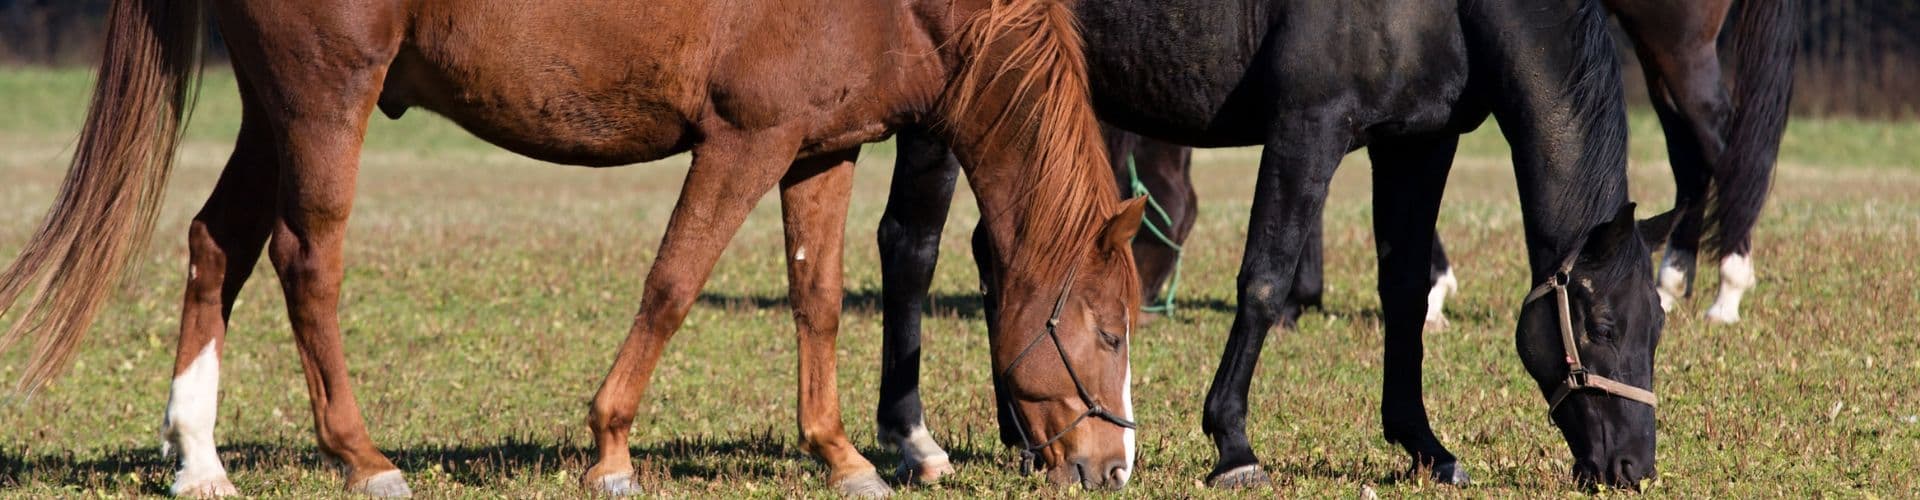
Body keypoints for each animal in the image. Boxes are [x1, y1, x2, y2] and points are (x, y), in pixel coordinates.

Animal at [0, 0, 1149, 495]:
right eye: (1106, 330)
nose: (1114, 466)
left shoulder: (817, 150)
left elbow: (817, 300)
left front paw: (843, 454)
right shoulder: (743, 141)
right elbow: (672, 284)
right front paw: (610, 451)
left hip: (275, 112)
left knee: (214, 244)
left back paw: (198, 458)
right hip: (324, 102)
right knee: (303, 260)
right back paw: (363, 456)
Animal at [874, 0, 1679, 490]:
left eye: (1658, 329)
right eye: (1603, 326)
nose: (1633, 466)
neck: (1451, 11)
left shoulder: (1417, 143)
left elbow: (1404, 292)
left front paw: (1423, 444)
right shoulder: (1307, 127)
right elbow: (1264, 280)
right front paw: (1232, 444)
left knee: (1001, 255)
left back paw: (1021, 434)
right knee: (909, 247)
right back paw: (915, 440)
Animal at [1059, 0, 1800, 329]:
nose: (1141, 304)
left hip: (1674, 36)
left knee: (1725, 147)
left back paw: (1728, 290)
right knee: (1694, 154)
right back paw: (1672, 282)